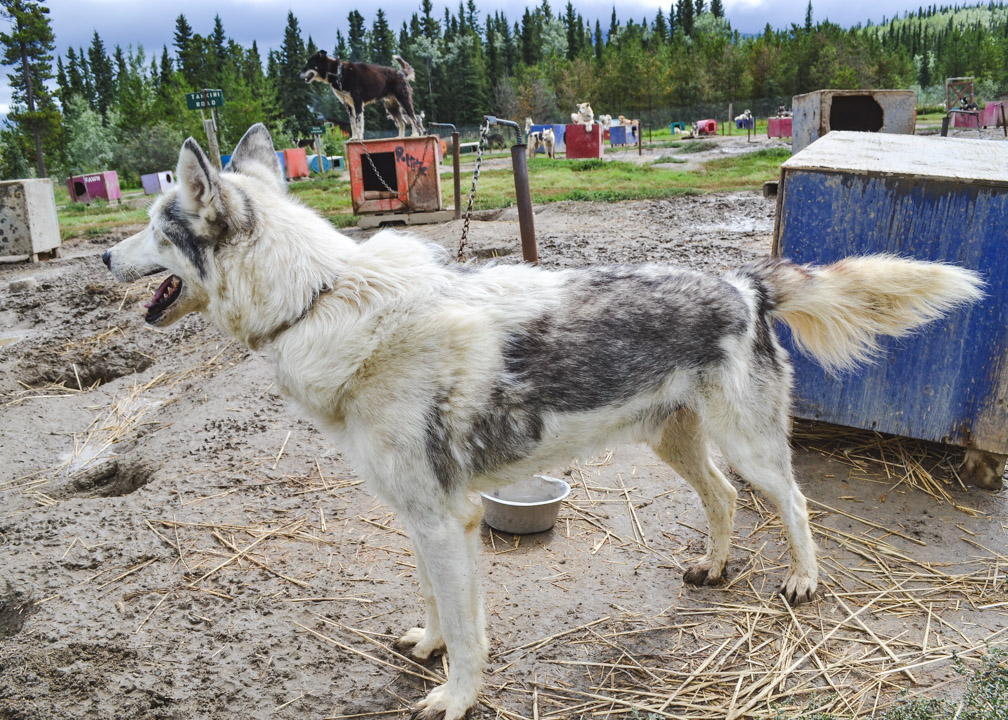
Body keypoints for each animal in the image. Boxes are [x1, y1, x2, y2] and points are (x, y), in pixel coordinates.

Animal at [104, 123, 983, 717]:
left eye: (153, 225)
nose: (107, 259)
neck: (317, 298)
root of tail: (743, 281)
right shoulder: (421, 521)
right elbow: (438, 610)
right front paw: (427, 649)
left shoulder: (445, 520)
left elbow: (468, 632)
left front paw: (455, 696)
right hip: (677, 444)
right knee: (725, 500)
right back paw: (712, 566)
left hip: (750, 445)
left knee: (794, 502)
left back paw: (802, 579)